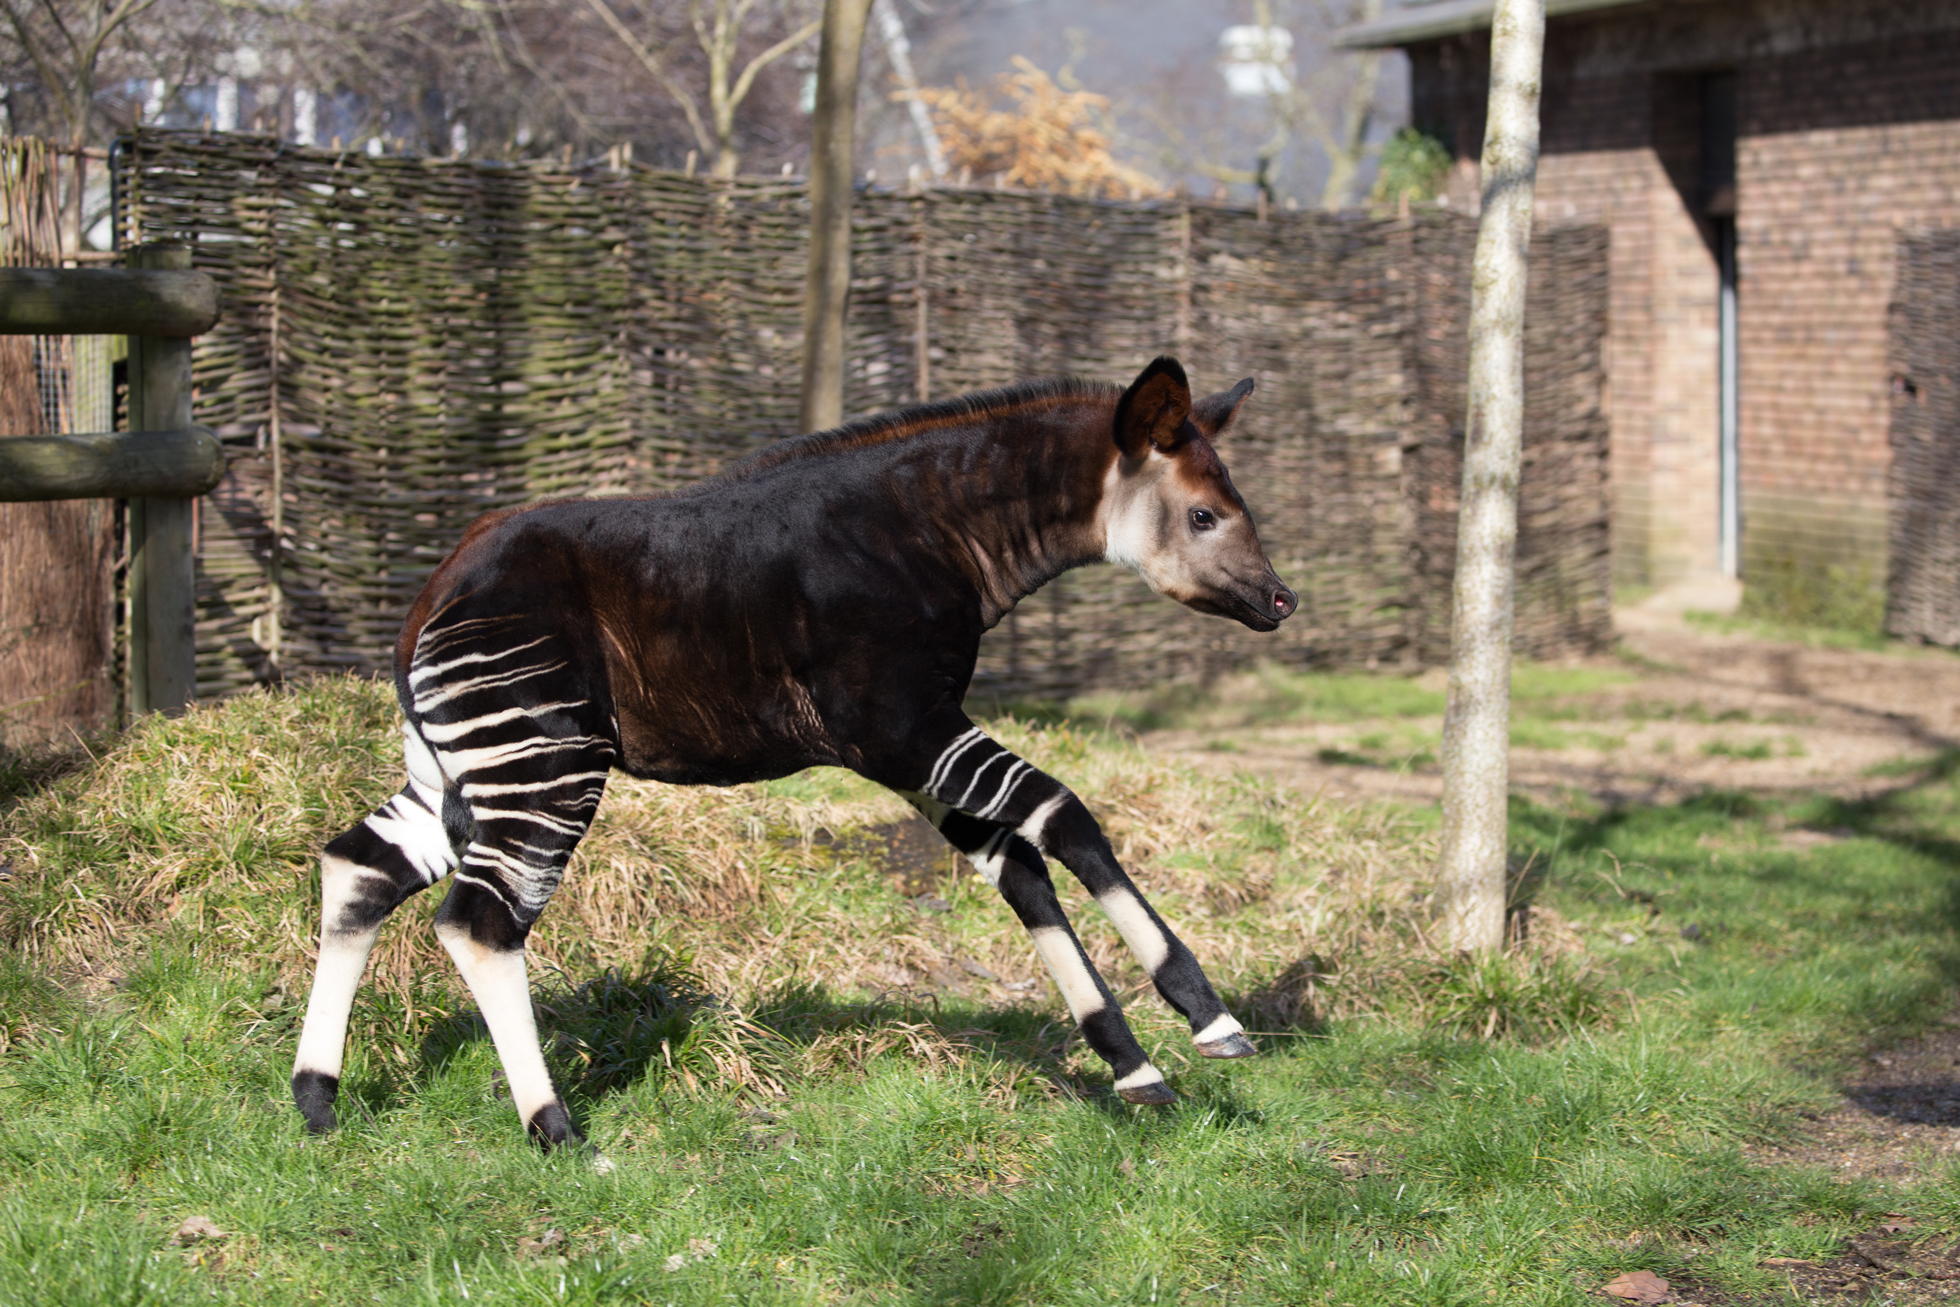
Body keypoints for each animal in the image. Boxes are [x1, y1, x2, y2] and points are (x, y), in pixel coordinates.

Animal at [290, 354, 1293, 1144]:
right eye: (1205, 515)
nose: (1282, 600)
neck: (941, 532)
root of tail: (431, 594)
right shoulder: (902, 724)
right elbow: (1066, 818)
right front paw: (1208, 1018)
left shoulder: (905, 745)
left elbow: (1020, 872)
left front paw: (1134, 1069)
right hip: (546, 764)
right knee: (479, 920)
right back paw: (557, 1128)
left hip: (458, 769)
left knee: (359, 867)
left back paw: (317, 1099)